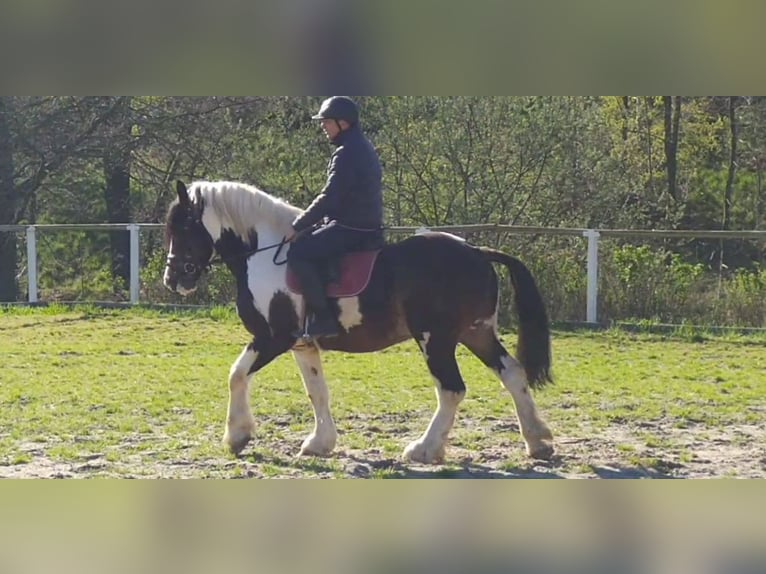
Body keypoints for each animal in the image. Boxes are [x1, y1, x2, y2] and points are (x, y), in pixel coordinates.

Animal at [163, 180, 555, 464]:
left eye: (183, 228)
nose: (173, 279)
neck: (265, 254)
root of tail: (477, 252)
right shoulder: (302, 344)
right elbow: (316, 391)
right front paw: (319, 443)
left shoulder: (273, 337)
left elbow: (237, 375)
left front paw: (237, 435)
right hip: (477, 333)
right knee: (512, 374)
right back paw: (538, 442)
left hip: (436, 339)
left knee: (451, 389)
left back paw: (424, 449)